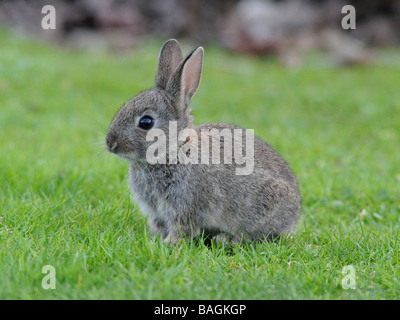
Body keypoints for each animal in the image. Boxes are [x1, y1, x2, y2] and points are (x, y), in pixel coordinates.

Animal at [106, 39, 300, 245]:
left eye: (146, 122)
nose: (110, 144)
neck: (174, 150)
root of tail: (295, 214)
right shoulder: (157, 212)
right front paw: (155, 240)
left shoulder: (184, 207)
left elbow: (182, 229)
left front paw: (169, 244)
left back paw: (225, 239)